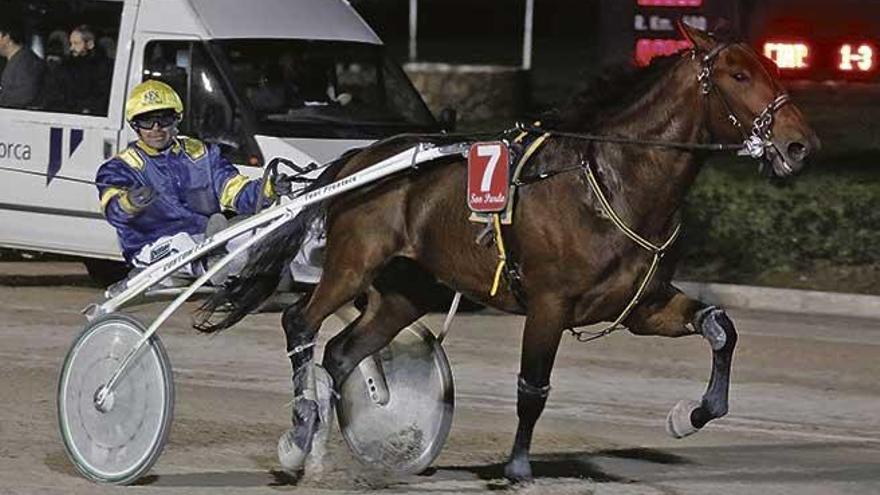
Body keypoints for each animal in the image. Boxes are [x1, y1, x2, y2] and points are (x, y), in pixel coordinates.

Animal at [198, 24, 820, 484]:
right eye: (739, 74)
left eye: (771, 67)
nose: (800, 144)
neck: (610, 180)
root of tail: (361, 159)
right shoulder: (549, 303)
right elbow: (532, 387)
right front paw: (518, 468)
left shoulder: (642, 306)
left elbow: (721, 329)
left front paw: (688, 417)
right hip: (353, 265)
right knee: (300, 323)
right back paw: (299, 439)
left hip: (407, 291)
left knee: (343, 352)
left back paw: (343, 452)